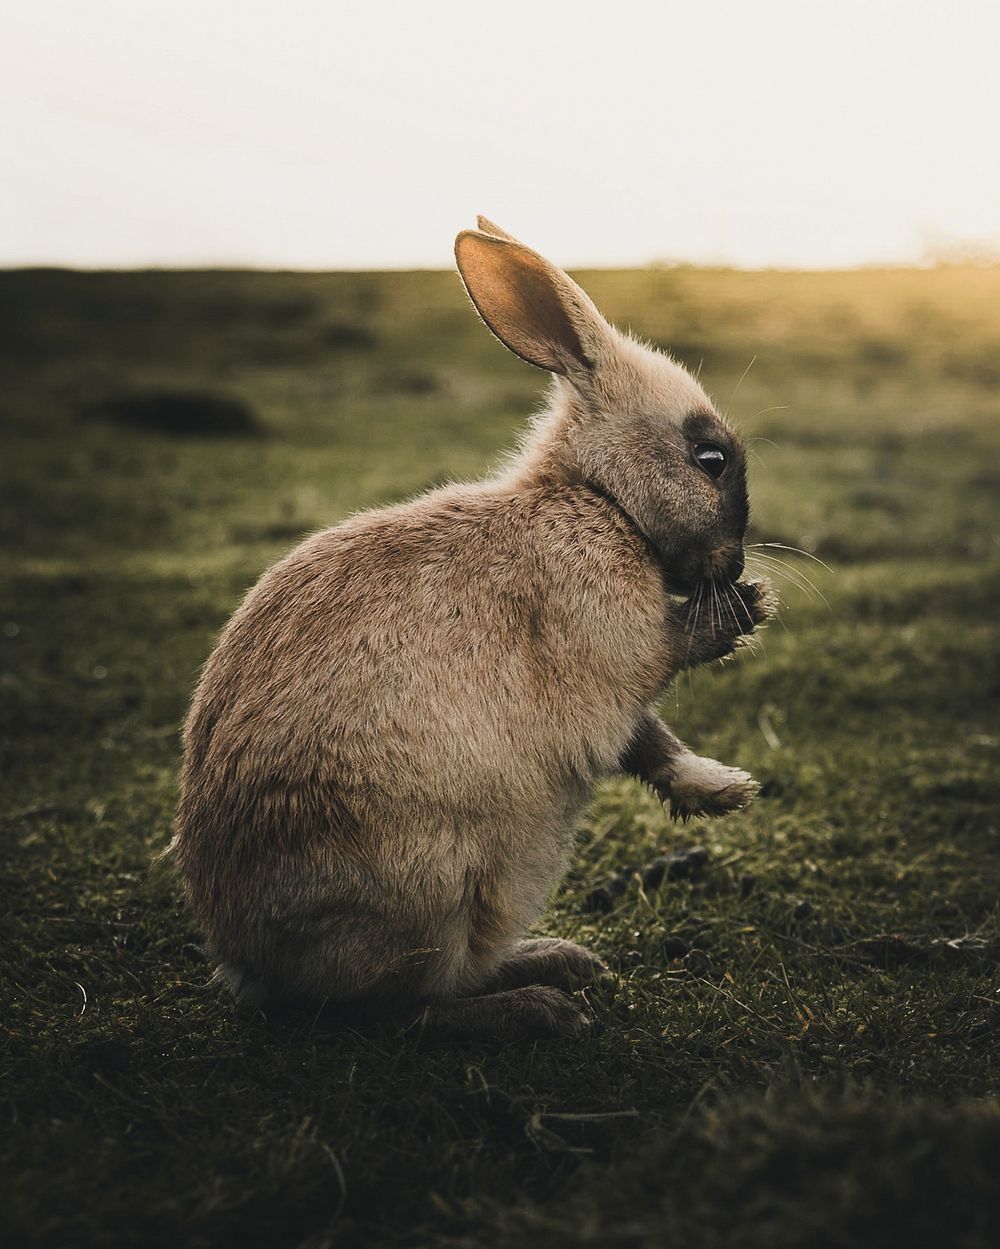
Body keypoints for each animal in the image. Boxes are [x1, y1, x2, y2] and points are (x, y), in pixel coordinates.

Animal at [169, 219, 774, 1039]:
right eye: (709, 459)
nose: (734, 562)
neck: (599, 500)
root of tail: (249, 965)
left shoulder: (611, 704)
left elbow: (652, 741)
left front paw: (723, 791)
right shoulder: (611, 647)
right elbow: (666, 661)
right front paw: (747, 608)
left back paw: (562, 960)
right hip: (432, 896)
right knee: (398, 1010)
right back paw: (542, 1006)